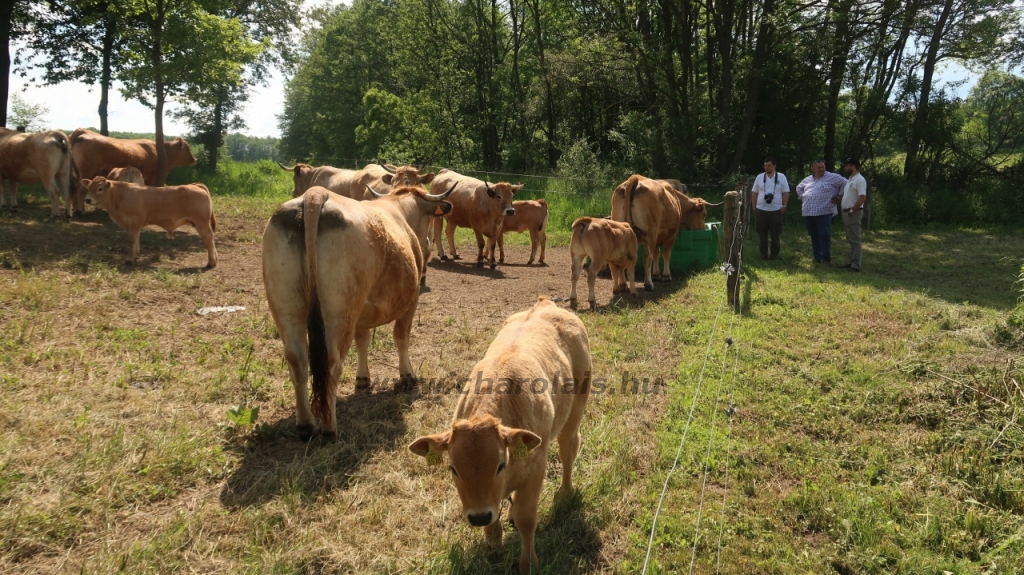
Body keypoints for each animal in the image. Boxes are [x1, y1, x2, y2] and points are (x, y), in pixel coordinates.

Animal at [82, 174, 219, 268]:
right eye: (89, 187)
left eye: (100, 188)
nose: (87, 199)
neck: (120, 196)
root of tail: (195, 185)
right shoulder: (136, 225)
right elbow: (136, 239)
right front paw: (135, 256)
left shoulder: (134, 222)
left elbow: (132, 240)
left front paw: (129, 259)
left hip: (201, 222)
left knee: (208, 238)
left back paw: (211, 262)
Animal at [262, 183, 454, 437]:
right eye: (430, 217)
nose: (429, 244)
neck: (399, 210)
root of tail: (314, 195)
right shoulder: (410, 301)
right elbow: (401, 337)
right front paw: (407, 376)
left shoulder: (361, 313)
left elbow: (362, 340)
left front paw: (363, 378)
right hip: (340, 313)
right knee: (331, 361)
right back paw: (329, 428)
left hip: (287, 308)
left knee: (297, 360)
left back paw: (305, 424)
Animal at [409, 294, 593, 572]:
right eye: (453, 469)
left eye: (499, 465)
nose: (478, 516)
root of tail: (545, 304)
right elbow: (496, 524)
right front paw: (494, 545)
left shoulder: (536, 466)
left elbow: (527, 518)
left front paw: (529, 563)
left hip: (574, 412)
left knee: (568, 448)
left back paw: (565, 494)